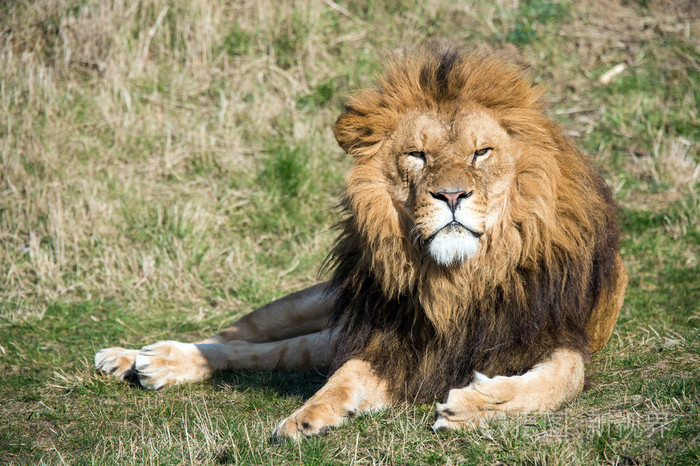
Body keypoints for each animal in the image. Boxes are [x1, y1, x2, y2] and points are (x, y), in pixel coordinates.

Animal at [94, 47, 628, 440]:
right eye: (417, 155)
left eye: (482, 152)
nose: (452, 194)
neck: (460, 277)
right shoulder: (391, 339)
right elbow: (343, 375)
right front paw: (306, 416)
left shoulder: (554, 334)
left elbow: (563, 380)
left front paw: (476, 406)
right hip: (314, 307)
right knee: (237, 339)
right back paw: (142, 357)